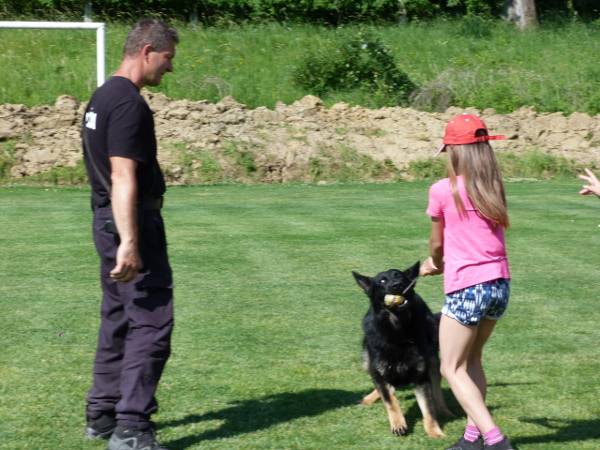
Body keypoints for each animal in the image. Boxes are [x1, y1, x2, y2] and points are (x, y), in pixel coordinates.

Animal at [352, 261, 452, 438]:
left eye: (399, 276)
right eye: (382, 281)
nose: (397, 285)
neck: (397, 330)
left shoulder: (421, 377)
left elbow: (428, 409)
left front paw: (434, 432)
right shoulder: (379, 371)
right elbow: (390, 400)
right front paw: (398, 424)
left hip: (432, 360)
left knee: (436, 390)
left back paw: (443, 410)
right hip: (367, 361)